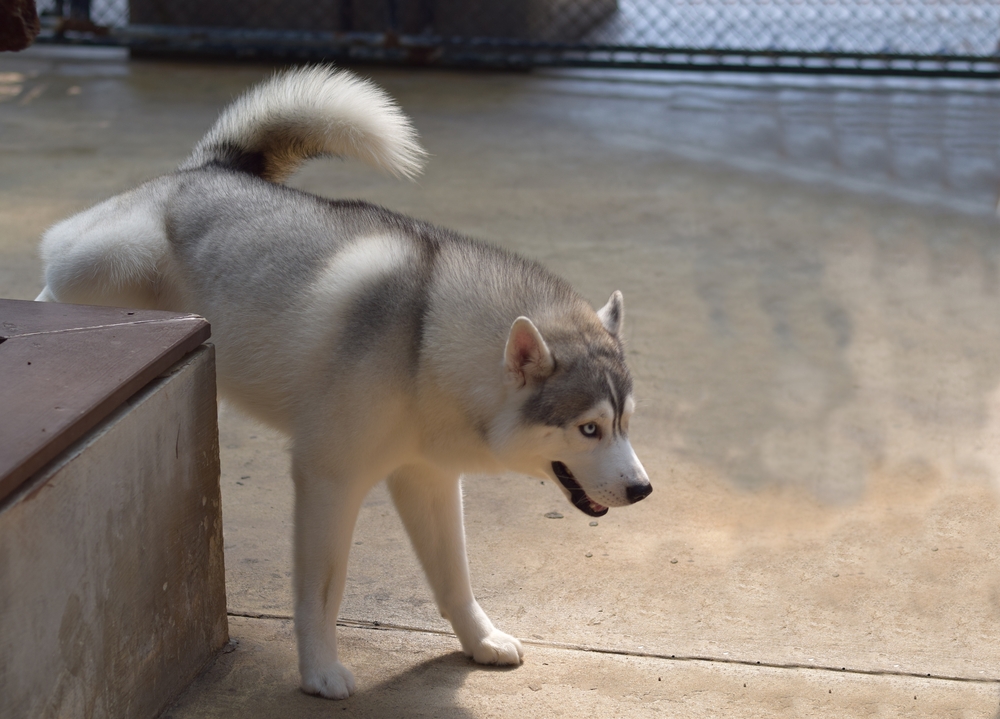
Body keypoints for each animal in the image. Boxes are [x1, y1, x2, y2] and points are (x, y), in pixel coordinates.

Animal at [35, 66, 652, 696]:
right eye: (588, 428)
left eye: (625, 424)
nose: (642, 490)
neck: (425, 338)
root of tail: (202, 171)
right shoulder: (329, 480)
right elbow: (323, 592)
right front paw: (319, 672)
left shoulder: (428, 478)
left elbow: (454, 577)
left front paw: (479, 640)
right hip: (114, 266)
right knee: (54, 288)